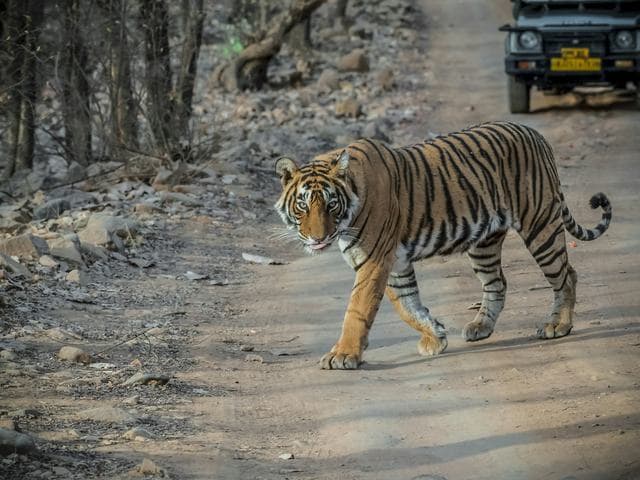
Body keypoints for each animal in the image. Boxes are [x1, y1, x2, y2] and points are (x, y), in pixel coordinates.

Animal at [274, 121, 612, 370]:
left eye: (331, 204)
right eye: (303, 205)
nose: (318, 238)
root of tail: (536, 134)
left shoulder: (374, 260)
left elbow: (358, 309)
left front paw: (343, 355)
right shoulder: (394, 263)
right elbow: (408, 305)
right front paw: (435, 336)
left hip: (540, 225)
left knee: (567, 275)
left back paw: (558, 326)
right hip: (484, 243)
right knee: (497, 283)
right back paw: (480, 327)